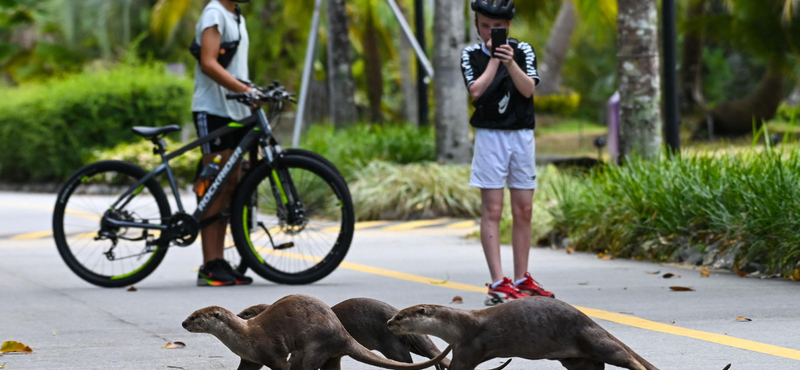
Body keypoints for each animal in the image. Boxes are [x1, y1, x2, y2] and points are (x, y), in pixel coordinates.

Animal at [184, 294, 454, 370]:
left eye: (195, 317)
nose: (184, 323)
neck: (244, 337)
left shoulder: (272, 352)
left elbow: (282, 364)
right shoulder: (250, 359)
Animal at [386, 298, 656, 370]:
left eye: (400, 316)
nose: (388, 322)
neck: (459, 325)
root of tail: (591, 320)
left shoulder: (471, 346)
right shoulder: (460, 347)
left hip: (592, 339)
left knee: (624, 357)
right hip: (575, 359)